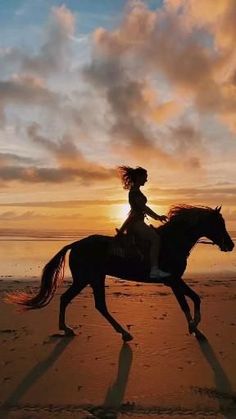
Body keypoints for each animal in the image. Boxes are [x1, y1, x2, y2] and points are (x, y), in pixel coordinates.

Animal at [6, 205, 234, 342]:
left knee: (79, 301)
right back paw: (117, 332)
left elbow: (194, 299)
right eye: (218, 224)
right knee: (87, 303)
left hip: (90, 279)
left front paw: (196, 328)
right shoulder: (173, 281)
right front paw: (195, 328)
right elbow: (188, 303)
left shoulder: (175, 281)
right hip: (88, 278)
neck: (172, 241)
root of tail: (76, 244)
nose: (230, 245)